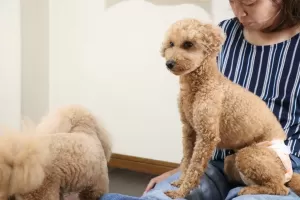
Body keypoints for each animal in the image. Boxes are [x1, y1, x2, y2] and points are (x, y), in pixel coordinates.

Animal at [161, 18, 300, 198]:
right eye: (171, 44)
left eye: (188, 44)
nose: (169, 63)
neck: (201, 84)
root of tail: (288, 174)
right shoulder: (189, 129)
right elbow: (186, 160)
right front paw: (180, 182)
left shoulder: (207, 136)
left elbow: (195, 167)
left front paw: (180, 192)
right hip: (231, 162)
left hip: (250, 155)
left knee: (280, 188)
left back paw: (248, 190)